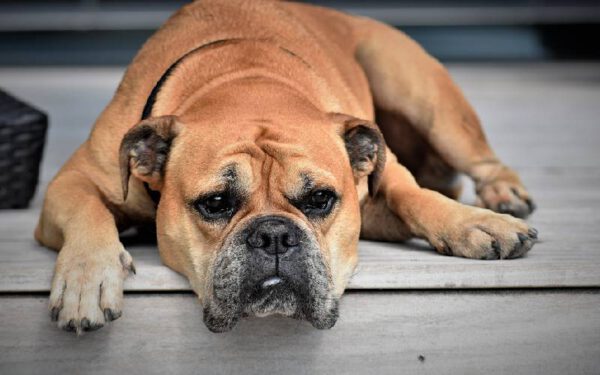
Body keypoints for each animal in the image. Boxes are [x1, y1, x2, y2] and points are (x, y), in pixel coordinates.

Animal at [35, 0, 536, 334]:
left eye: (320, 199)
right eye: (215, 203)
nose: (274, 235)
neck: (246, 80)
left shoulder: (380, 174)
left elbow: (413, 195)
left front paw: (474, 223)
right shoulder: (72, 181)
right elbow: (87, 210)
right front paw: (87, 277)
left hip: (421, 92)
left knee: (480, 159)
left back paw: (502, 196)